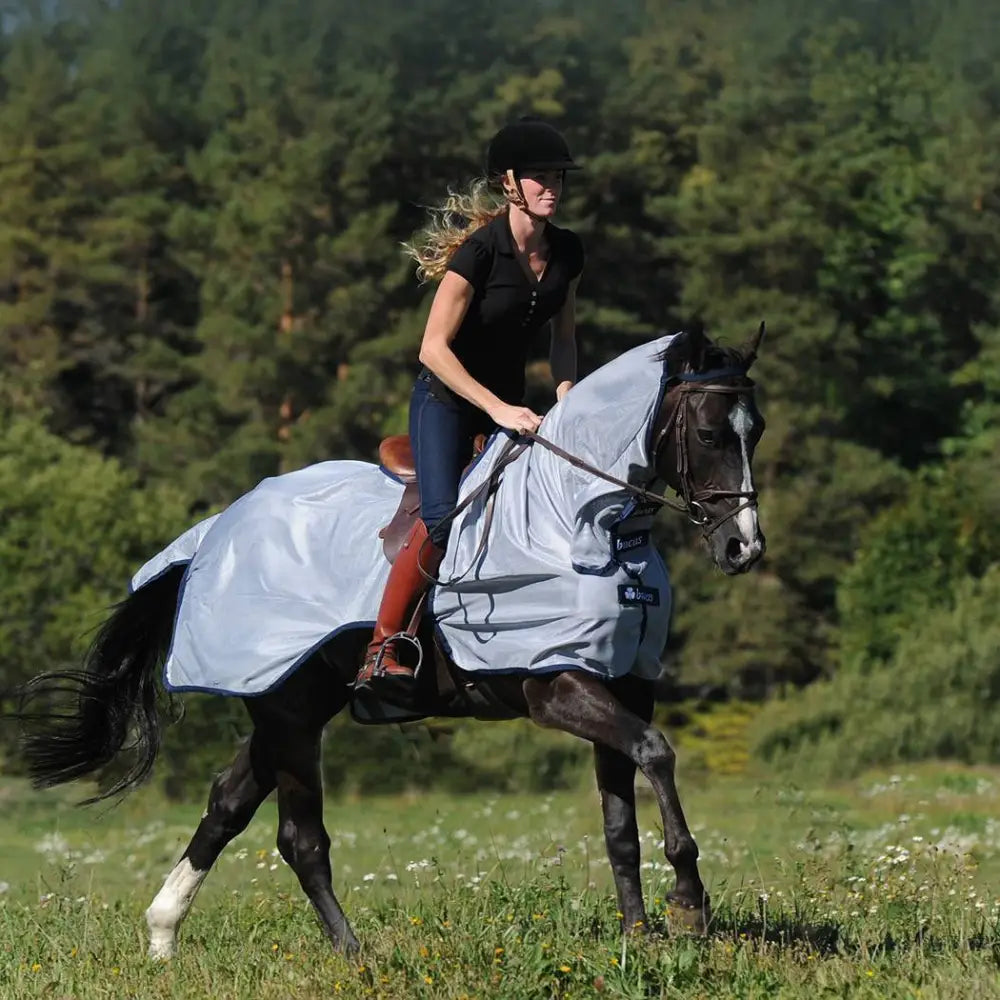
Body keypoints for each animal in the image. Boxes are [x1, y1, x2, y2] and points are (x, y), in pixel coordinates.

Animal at [12, 324, 766, 959]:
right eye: (707, 433)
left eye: (754, 430)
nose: (744, 548)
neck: (580, 522)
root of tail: (215, 532)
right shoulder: (554, 686)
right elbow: (656, 752)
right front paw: (689, 903)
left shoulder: (621, 682)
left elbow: (621, 821)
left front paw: (642, 934)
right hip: (289, 713)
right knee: (299, 839)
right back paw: (354, 955)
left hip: (291, 705)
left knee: (227, 801)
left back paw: (163, 936)